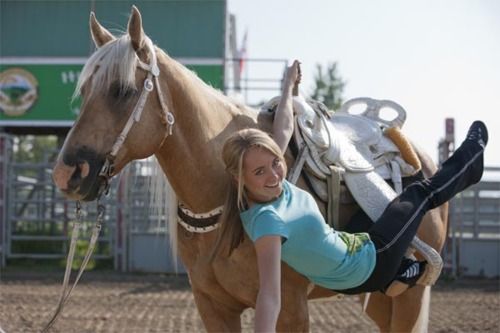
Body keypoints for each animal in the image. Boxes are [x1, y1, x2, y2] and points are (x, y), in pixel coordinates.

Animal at [51, 6, 450, 330]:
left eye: (121, 90)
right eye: (84, 92)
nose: (66, 174)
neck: (224, 197)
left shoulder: (291, 309)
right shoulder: (213, 307)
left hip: (409, 297)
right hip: (385, 295)